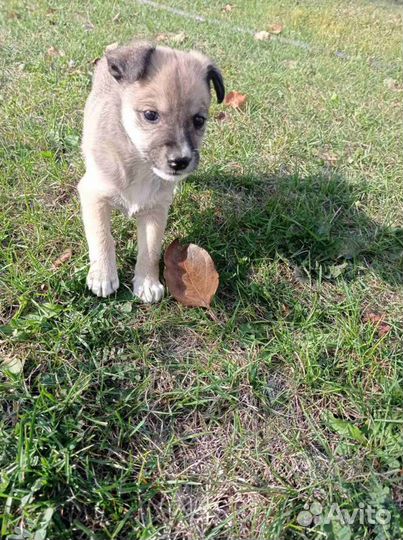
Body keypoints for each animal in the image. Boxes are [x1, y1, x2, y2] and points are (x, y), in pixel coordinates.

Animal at [79, 41, 224, 304]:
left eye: (199, 120)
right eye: (150, 115)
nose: (180, 161)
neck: (139, 164)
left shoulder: (156, 209)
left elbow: (150, 250)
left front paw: (147, 282)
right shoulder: (93, 195)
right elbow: (102, 237)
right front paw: (103, 276)